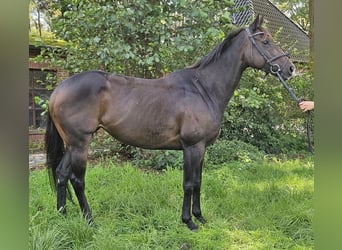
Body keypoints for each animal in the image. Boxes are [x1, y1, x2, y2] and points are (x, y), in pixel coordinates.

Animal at [46, 15, 294, 230]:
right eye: (266, 40)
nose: (290, 69)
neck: (203, 89)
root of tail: (58, 90)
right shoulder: (192, 146)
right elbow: (189, 183)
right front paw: (189, 222)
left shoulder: (202, 148)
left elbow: (198, 181)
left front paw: (200, 217)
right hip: (80, 144)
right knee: (77, 180)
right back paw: (90, 221)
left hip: (72, 145)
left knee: (61, 174)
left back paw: (62, 215)